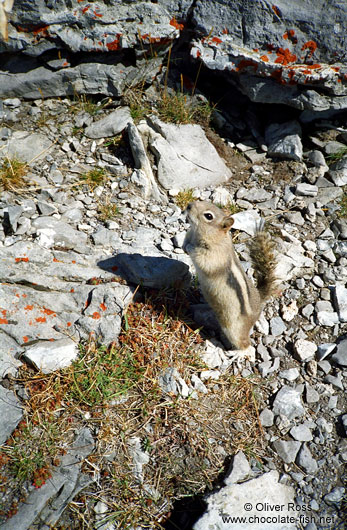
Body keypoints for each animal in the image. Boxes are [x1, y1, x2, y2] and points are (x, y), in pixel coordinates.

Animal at [184, 200, 278, 348]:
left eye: (208, 216)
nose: (189, 206)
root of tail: (259, 301)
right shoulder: (190, 234)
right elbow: (186, 239)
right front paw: (184, 245)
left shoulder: (213, 256)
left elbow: (202, 259)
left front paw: (189, 247)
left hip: (233, 329)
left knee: (245, 344)